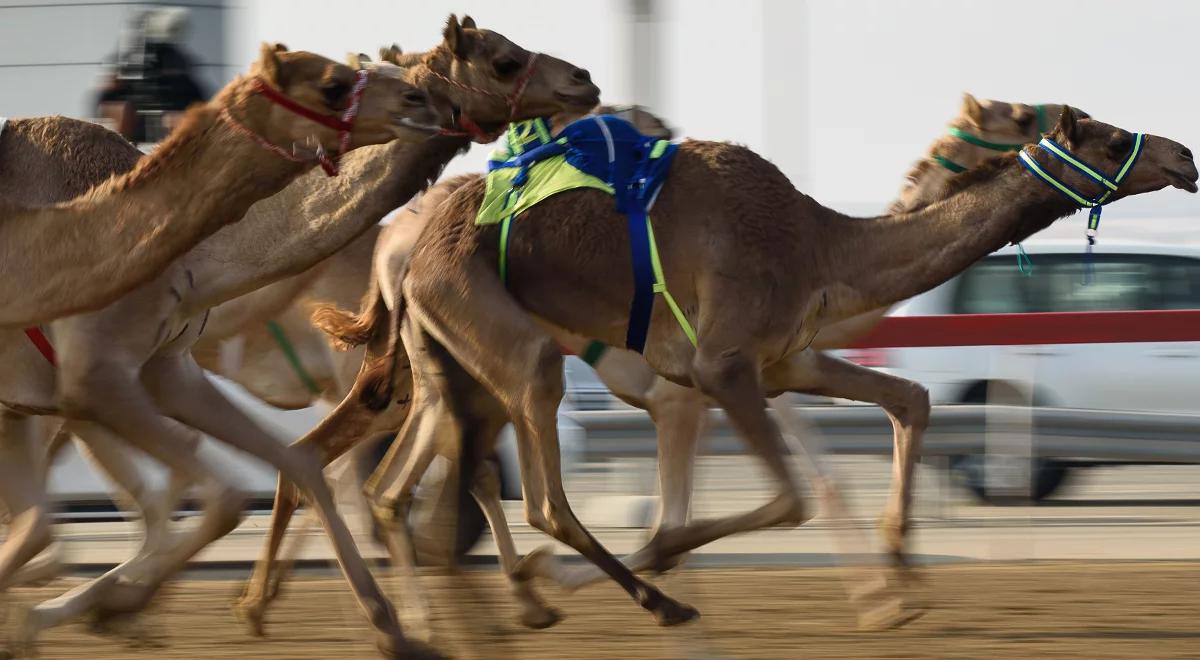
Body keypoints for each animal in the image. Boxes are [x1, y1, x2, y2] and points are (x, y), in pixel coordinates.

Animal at [236, 94, 1080, 633]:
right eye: (1015, 119)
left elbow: (876, 426)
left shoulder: (774, 369)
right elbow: (730, 505)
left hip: (430, 374)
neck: (821, 250)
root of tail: (396, 248)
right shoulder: (708, 381)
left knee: (371, 474)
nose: (1073, 124)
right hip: (494, 361)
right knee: (477, 484)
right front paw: (887, 597)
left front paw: (895, 591)